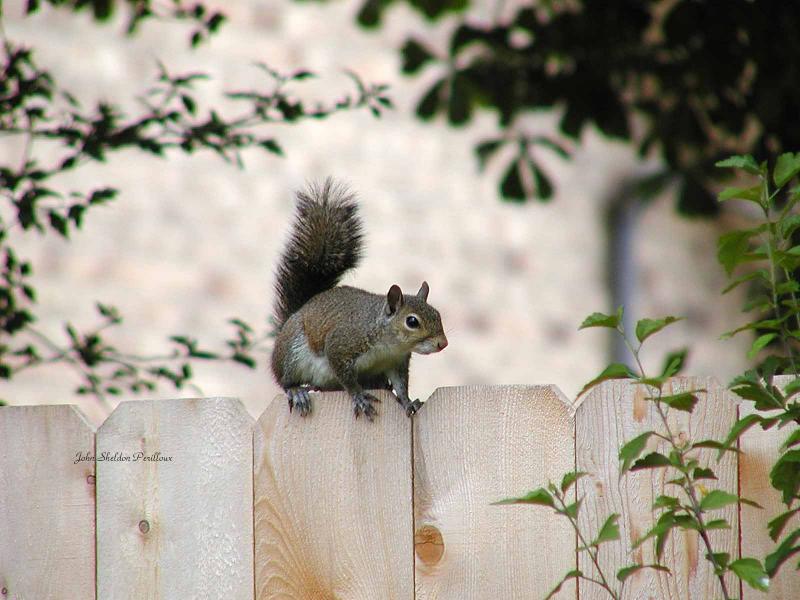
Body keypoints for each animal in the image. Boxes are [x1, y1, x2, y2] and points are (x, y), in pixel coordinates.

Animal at [268, 178, 444, 422]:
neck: (389, 345)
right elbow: (346, 377)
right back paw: (297, 391)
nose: (442, 343)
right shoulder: (342, 343)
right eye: (412, 321)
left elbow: (401, 385)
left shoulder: (396, 362)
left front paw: (408, 402)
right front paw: (359, 396)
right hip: (292, 354)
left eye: (438, 314)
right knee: (286, 381)